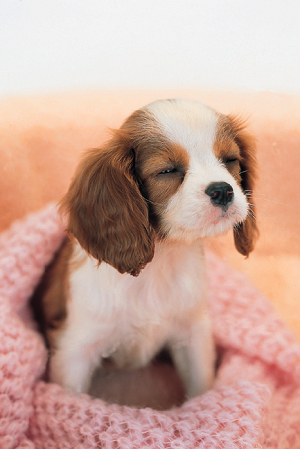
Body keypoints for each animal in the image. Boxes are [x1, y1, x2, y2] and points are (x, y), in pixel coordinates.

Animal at [35, 98, 256, 396]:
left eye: (230, 160)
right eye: (167, 171)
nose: (222, 190)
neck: (160, 260)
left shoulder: (193, 333)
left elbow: (200, 386)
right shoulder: (74, 350)